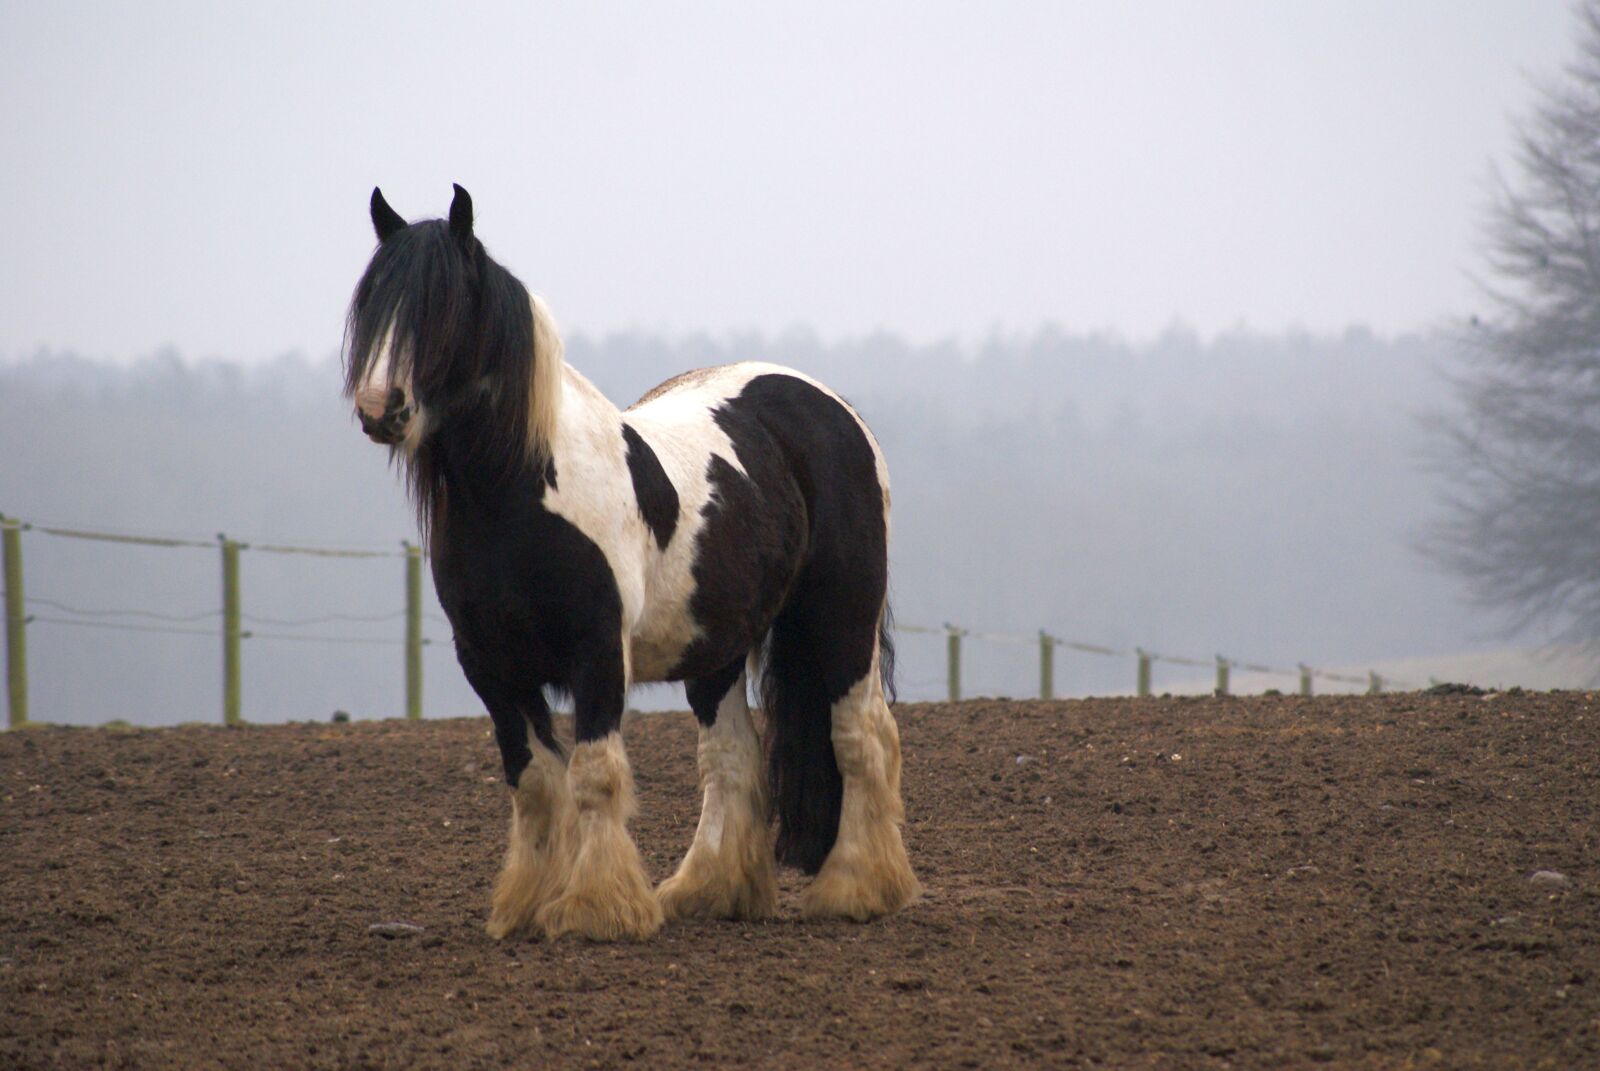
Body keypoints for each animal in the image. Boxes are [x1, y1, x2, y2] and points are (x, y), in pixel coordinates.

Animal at [344, 185, 917, 941]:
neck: (521, 494)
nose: (381, 407)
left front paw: (596, 907)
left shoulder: (596, 652)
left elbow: (593, 773)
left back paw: (857, 887)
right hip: (716, 649)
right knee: (732, 757)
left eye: (442, 306)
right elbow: (534, 779)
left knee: (859, 737)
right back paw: (711, 891)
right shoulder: (491, 665)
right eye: (373, 305)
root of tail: (831, 407)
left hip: (843, 619)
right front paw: (527, 905)